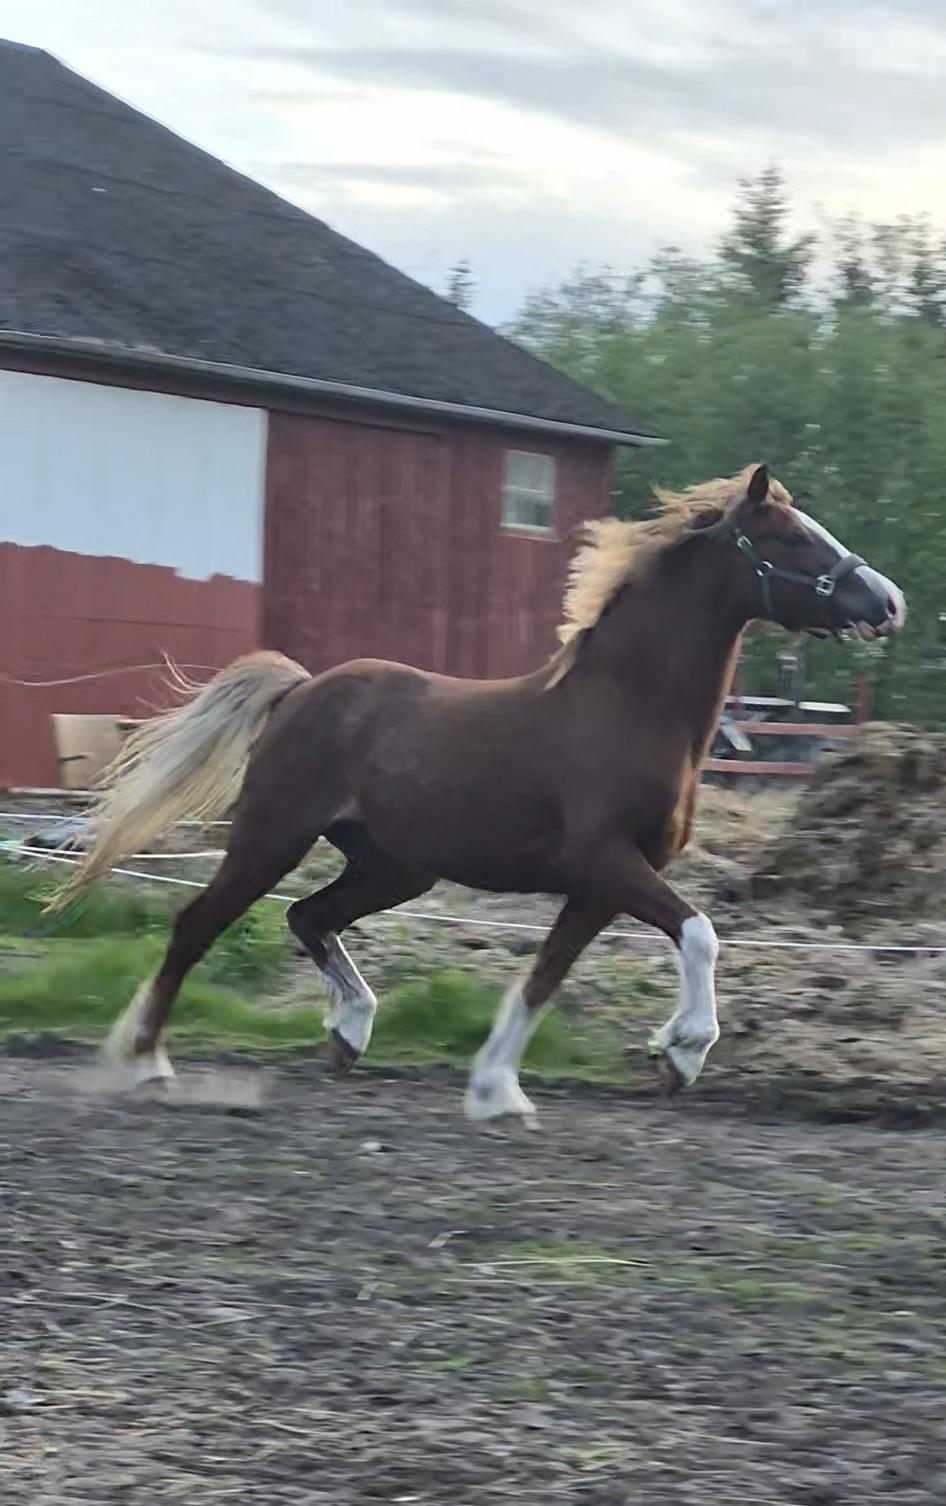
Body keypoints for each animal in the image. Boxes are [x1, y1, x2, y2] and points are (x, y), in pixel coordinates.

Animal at [55, 463, 905, 1121]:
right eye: (791, 537)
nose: (887, 601)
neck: (629, 708)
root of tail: (301, 691)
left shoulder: (600, 886)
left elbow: (544, 978)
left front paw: (500, 1090)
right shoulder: (607, 862)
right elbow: (699, 934)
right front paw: (683, 1049)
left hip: (394, 867)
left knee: (309, 915)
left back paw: (349, 1032)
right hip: (272, 837)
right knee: (198, 925)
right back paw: (147, 1062)